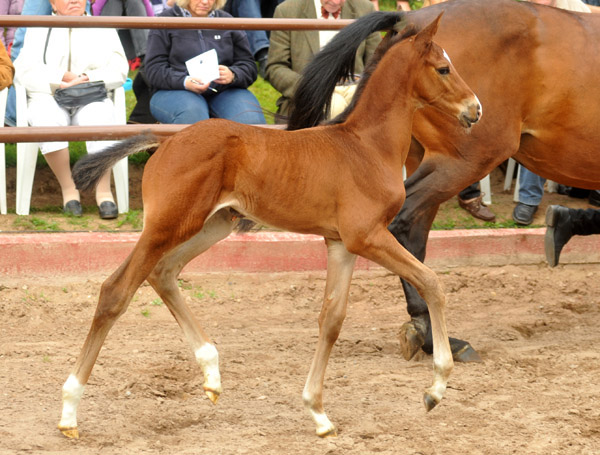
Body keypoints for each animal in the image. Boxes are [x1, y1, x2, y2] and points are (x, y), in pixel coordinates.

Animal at [57, 16, 482, 440]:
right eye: (443, 69)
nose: (475, 109)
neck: (366, 147)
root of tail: (165, 143)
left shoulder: (340, 243)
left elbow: (331, 319)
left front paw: (318, 413)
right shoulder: (367, 236)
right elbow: (431, 282)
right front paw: (435, 389)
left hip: (213, 225)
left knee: (162, 273)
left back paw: (211, 373)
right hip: (167, 226)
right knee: (116, 290)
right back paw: (69, 412)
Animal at [286, 0, 600, 364]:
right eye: (443, 69)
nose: (474, 108)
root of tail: (410, 19)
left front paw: (563, 223)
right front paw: (564, 224)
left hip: (422, 158)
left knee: (413, 232)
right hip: (464, 160)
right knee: (403, 222)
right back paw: (433, 335)